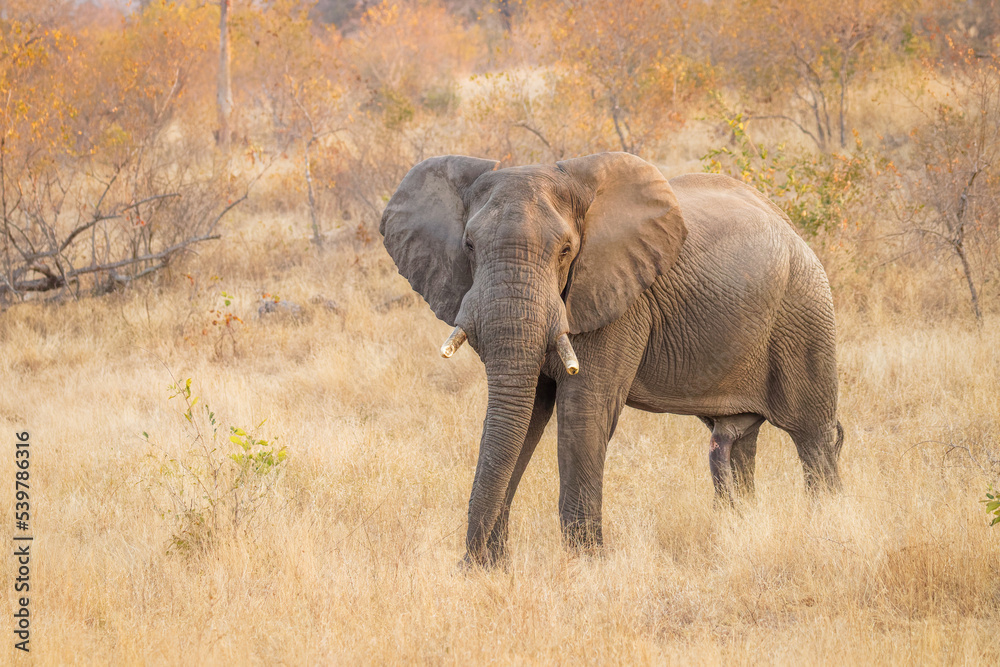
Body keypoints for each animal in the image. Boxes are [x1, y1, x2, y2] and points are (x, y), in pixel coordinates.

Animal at [380, 152, 843, 567]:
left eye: (566, 251)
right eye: (469, 246)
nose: (466, 564)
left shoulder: (620, 300)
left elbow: (584, 410)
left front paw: (586, 567)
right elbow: (527, 414)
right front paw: (495, 569)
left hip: (805, 311)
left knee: (813, 437)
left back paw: (826, 528)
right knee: (738, 439)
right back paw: (743, 522)